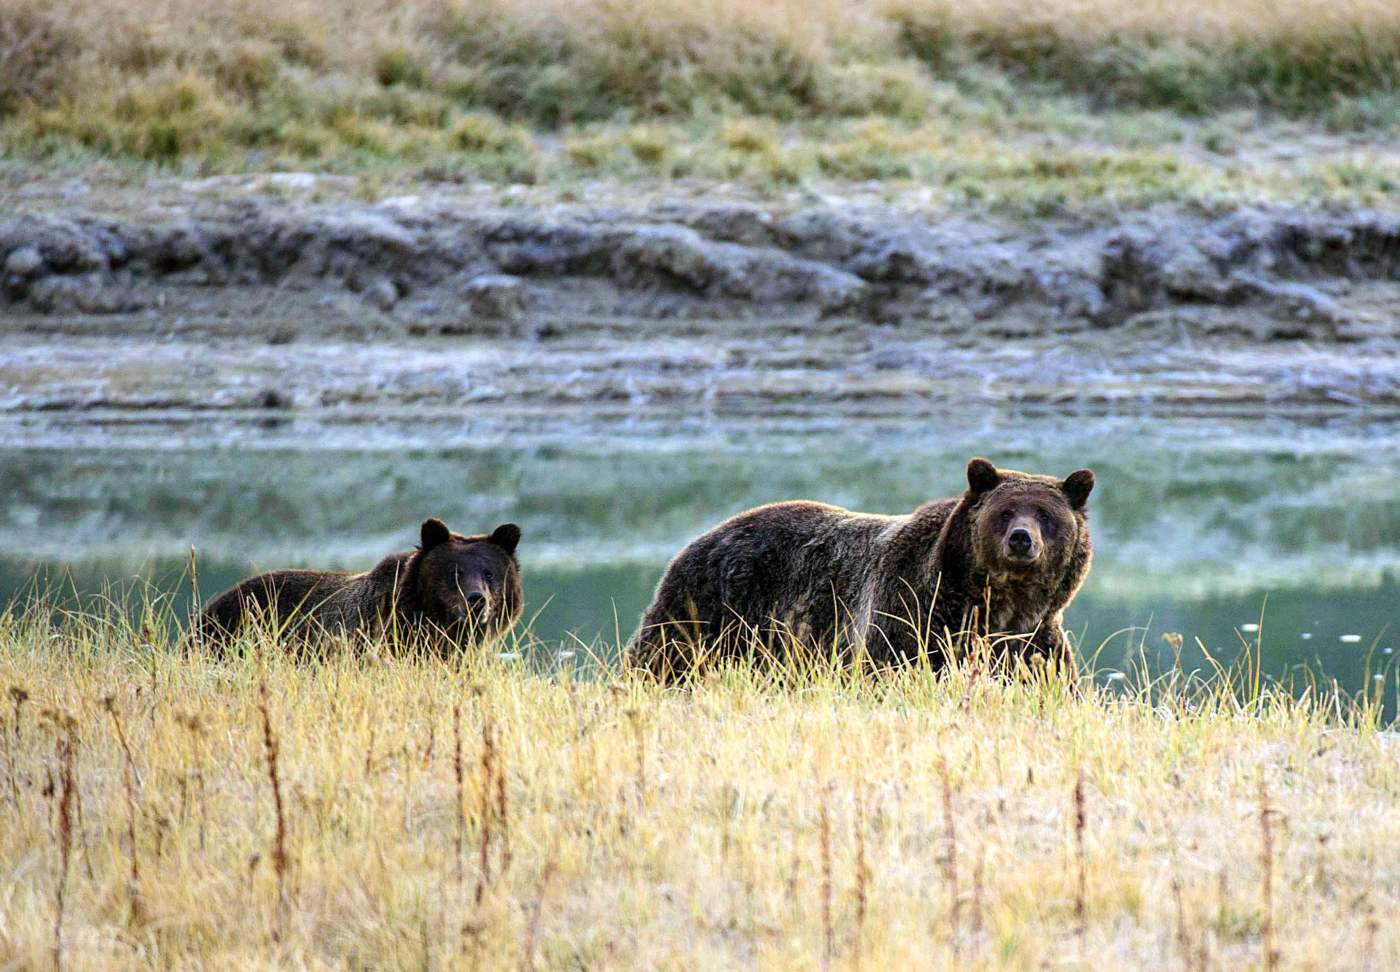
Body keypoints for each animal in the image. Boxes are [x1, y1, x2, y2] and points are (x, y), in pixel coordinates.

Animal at [627, 457, 1093, 680]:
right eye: (1005, 511)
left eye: (1045, 514)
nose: (1021, 539)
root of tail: (701, 537)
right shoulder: (911, 615)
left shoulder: (1032, 641)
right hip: (709, 609)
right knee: (663, 658)